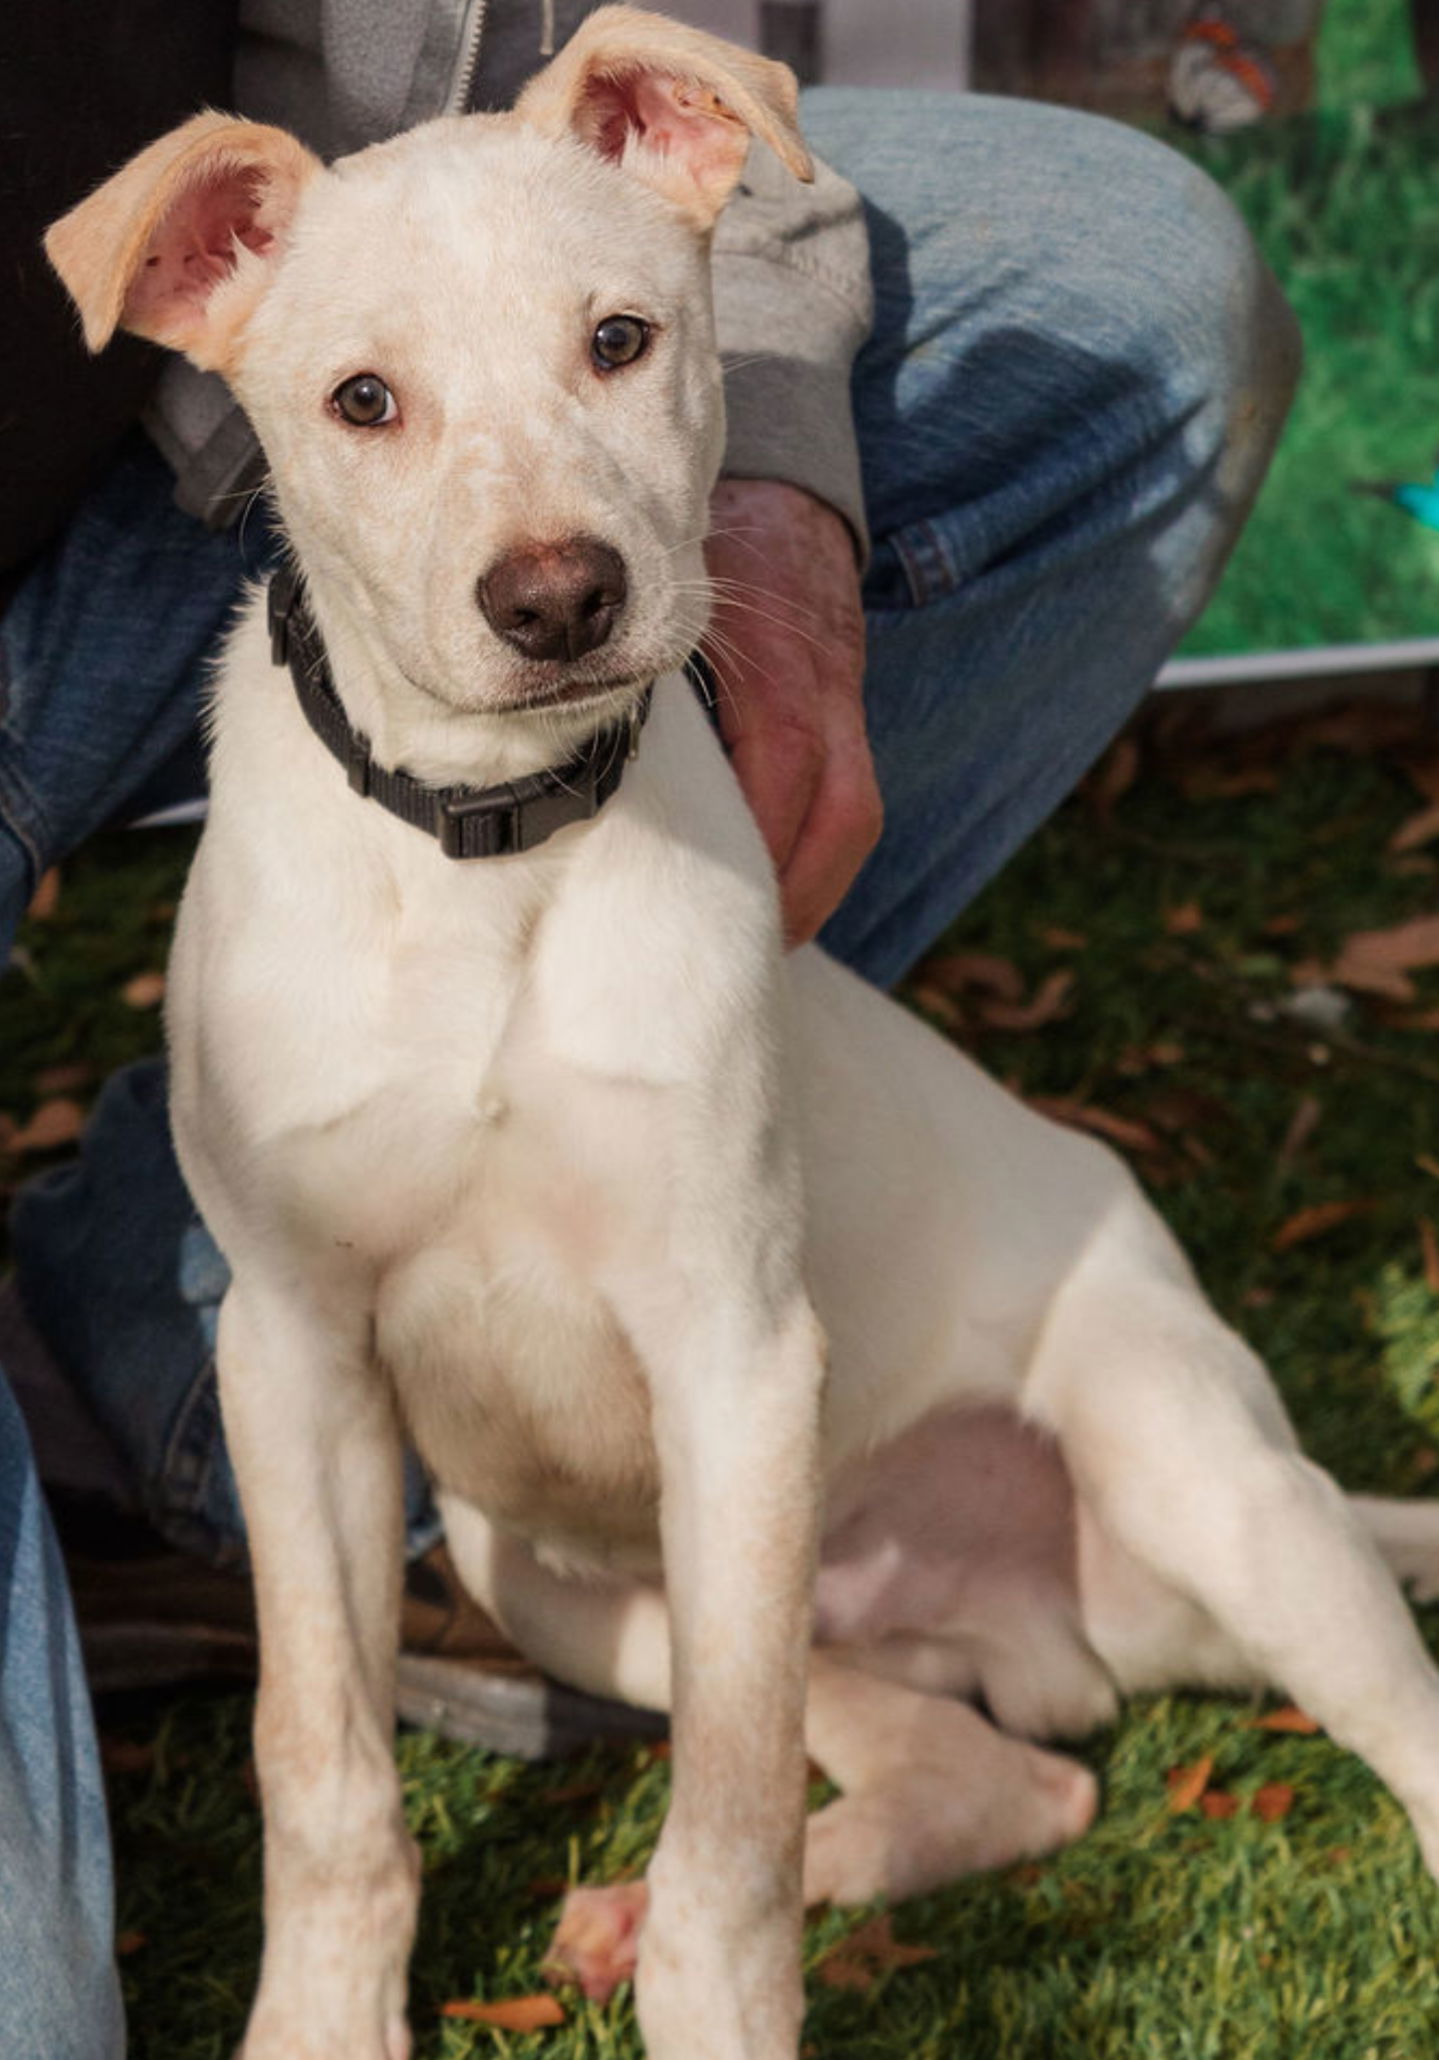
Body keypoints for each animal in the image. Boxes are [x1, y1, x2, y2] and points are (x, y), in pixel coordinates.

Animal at [50, 8, 1439, 2051]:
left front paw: (709, 2005)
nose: (557, 598)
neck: (493, 846)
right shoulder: (294, 1363)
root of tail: (1041, 1619)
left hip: (1190, 1479)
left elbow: (731, 1827)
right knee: (995, 1775)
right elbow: (321, 1759)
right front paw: (321, 2021)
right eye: (361, 401)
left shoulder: (731, 1356)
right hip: (551, 1577)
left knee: (1376, 1723)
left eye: (620, 340)